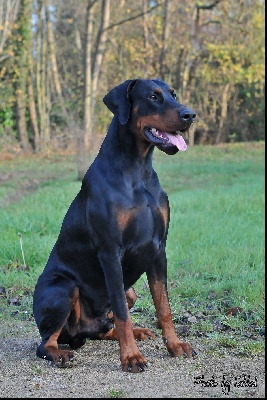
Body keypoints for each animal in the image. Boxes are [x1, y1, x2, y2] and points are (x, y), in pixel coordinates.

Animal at [33, 78, 197, 372]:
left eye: (173, 94)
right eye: (153, 97)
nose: (190, 115)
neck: (138, 171)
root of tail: (80, 333)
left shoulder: (158, 249)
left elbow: (163, 307)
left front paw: (175, 345)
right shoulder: (110, 252)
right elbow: (121, 313)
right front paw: (131, 357)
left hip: (129, 291)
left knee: (104, 328)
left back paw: (137, 331)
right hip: (64, 288)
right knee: (45, 343)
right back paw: (60, 354)